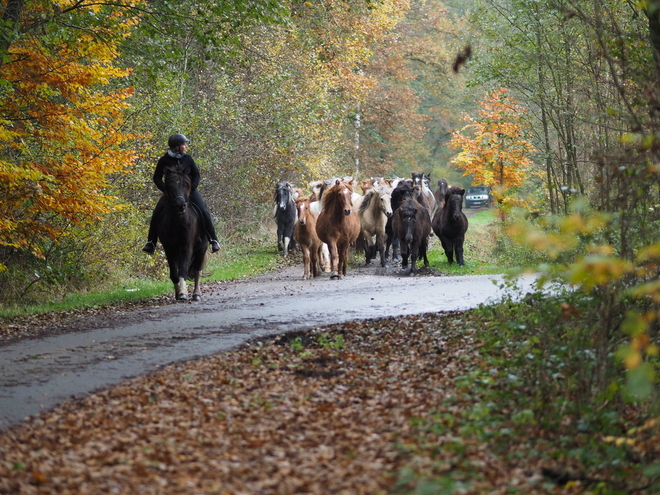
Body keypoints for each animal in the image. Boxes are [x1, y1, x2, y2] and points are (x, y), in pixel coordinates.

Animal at [157, 165, 206, 300]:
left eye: (186, 184)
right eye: (170, 185)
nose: (180, 205)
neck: (177, 221)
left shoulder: (186, 246)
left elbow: (183, 270)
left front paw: (183, 293)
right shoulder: (169, 248)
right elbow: (174, 273)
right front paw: (179, 292)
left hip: (202, 249)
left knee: (197, 270)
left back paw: (196, 294)